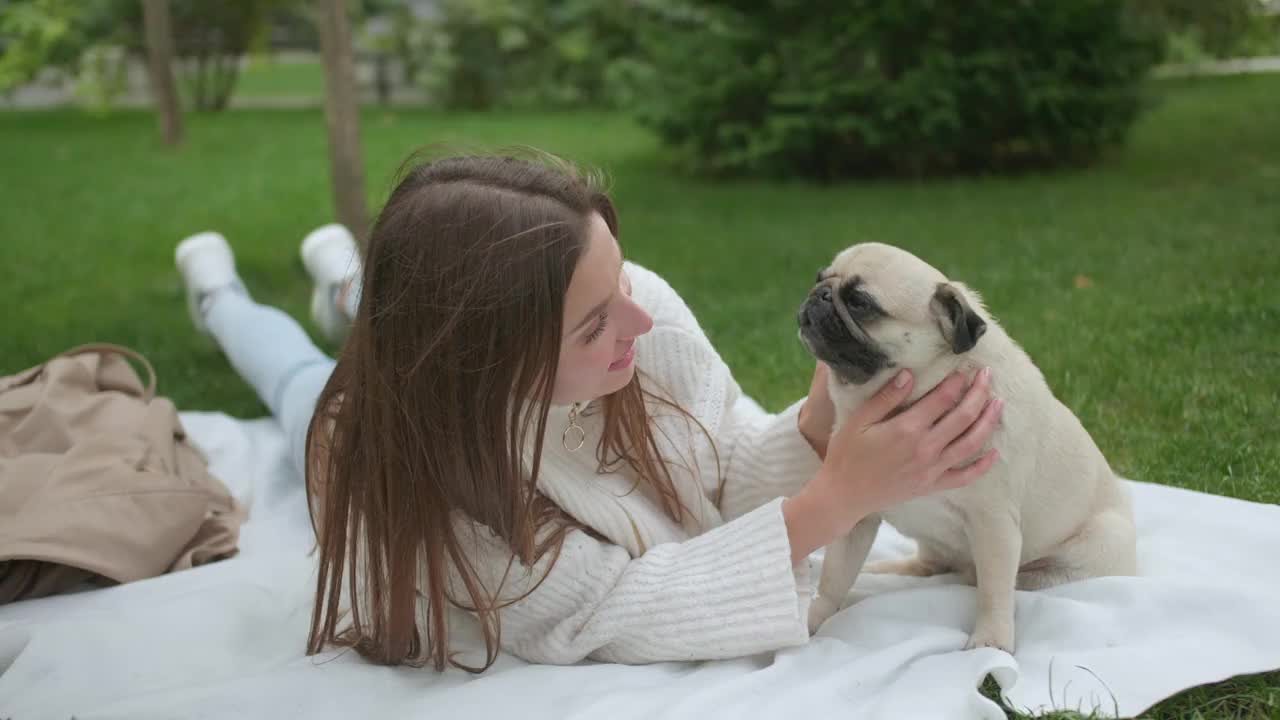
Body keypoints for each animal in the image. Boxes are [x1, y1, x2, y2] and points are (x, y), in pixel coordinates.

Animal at [803, 242, 1136, 650]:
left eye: (859, 302)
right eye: (820, 278)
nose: (818, 294)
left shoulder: (993, 523)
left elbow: (994, 592)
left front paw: (991, 642)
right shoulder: (855, 513)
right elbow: (834, 576)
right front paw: (816, 618)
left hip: (1097, 544)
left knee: (1012, 579)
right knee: (930, 564)